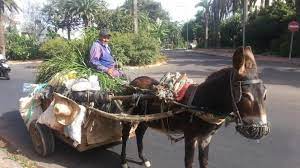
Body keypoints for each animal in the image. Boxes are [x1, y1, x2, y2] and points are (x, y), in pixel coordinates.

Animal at [119, 46, 270, 168]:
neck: (203, 102)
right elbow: (189, 162)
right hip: (128, 116)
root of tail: (134, 81)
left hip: (145, 119)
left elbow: (204, 161)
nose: (261, 130)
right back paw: (124, 161)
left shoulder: (206, 137)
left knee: (139, 133)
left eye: (265, 94)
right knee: (125, 135)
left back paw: (143, 159)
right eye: (246, 96)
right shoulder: (190, 136)